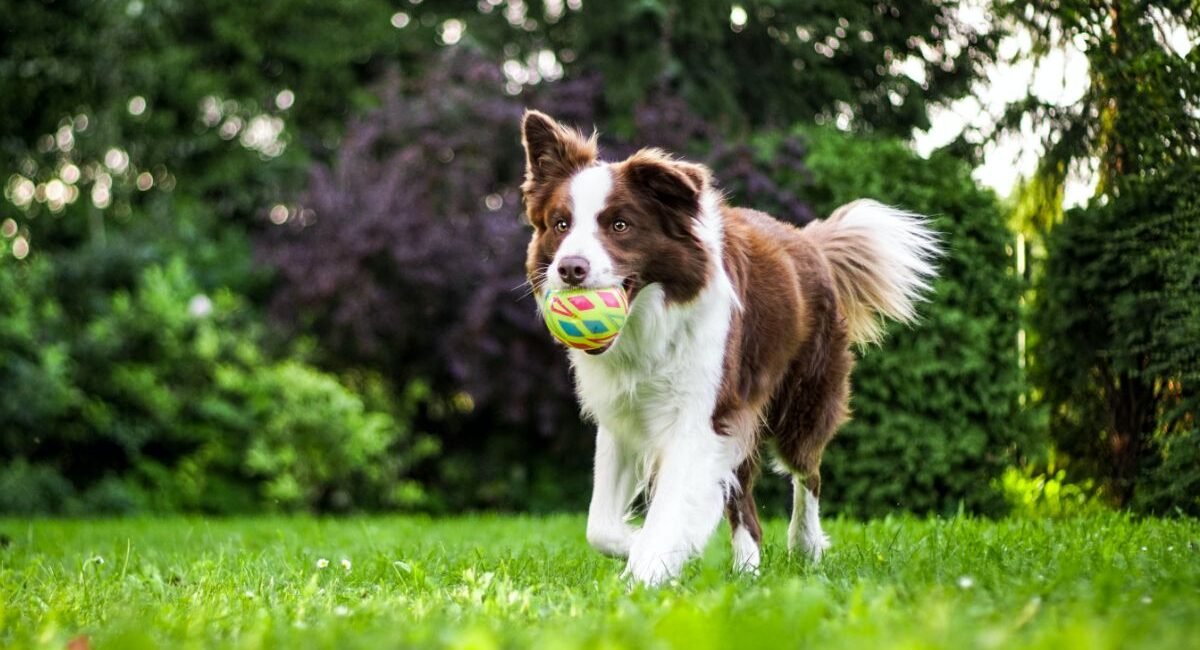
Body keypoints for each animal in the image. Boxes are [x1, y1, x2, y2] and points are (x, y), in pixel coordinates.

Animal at [520, 109, 940, 587]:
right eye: (561, 224)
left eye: (620, 225)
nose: (570, 269)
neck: (649, 322)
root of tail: (809, 241)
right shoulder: (624, 415)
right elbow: (600, 526)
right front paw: (643, 546)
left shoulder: (700, 416)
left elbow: (670, 509)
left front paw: (647, 571)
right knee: (745, 503)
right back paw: (747, 570)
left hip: (801, 402)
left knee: (807, 473)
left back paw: (805, 546)